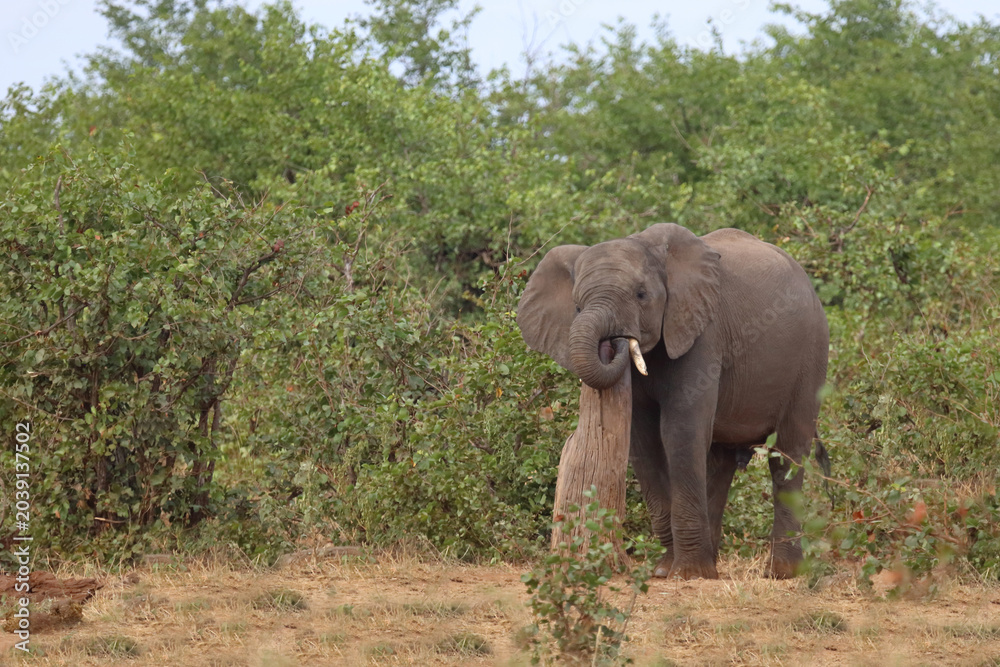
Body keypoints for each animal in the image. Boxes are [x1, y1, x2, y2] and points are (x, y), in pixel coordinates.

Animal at [517, 223, 829, 579]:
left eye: (641, 295)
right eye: (577, 307)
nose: (615, 340)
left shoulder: (702, 330)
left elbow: (680, 430)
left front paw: (687, 574)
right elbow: (643, 440)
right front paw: (665, 571)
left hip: (811, 357)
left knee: (787, 454)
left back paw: (781, 573)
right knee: (720, 462)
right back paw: (715, 564)